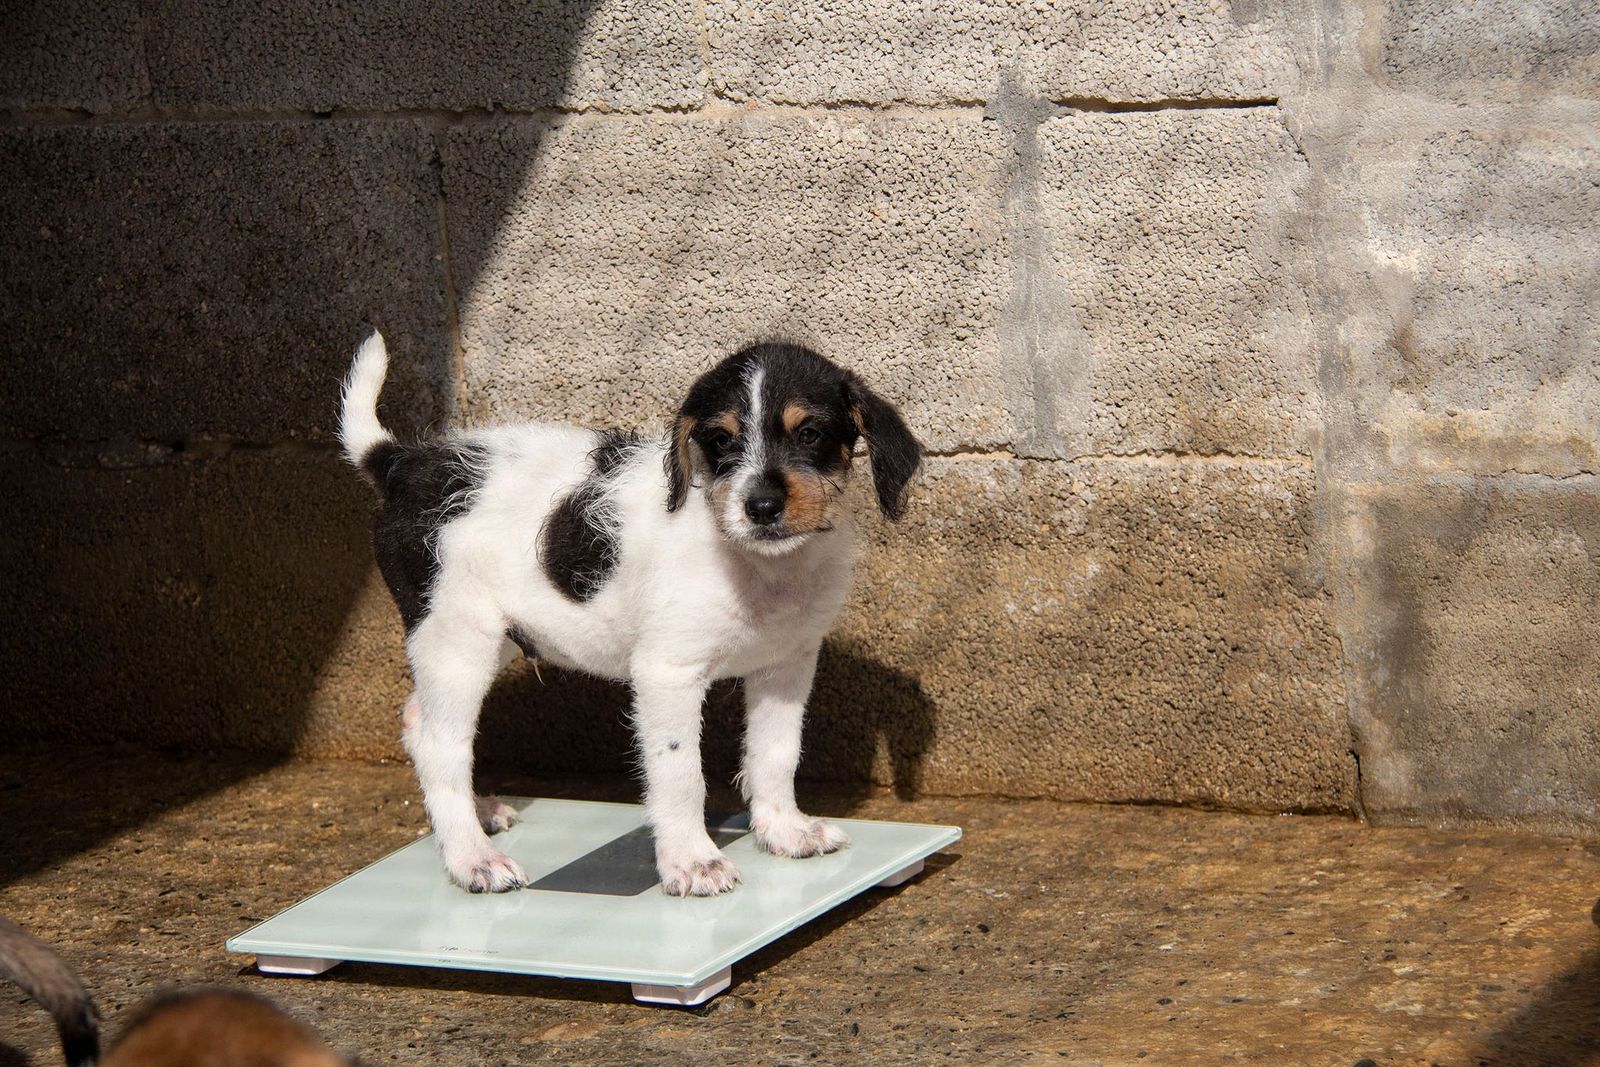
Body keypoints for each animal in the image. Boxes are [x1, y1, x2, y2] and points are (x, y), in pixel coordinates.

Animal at [340, 334, 920, 895]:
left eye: (810, 434)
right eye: (721, 441)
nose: (760, 508)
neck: (757, 562)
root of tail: (400, 464)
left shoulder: (786, 664)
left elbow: (775, 754)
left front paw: (784, 831)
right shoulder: (667, 674)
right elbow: (680, 774)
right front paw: (692, 861)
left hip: (488, 638)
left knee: (419, 720)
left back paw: (475, 817)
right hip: (458, 638)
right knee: (442, 746)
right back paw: (471, 858)